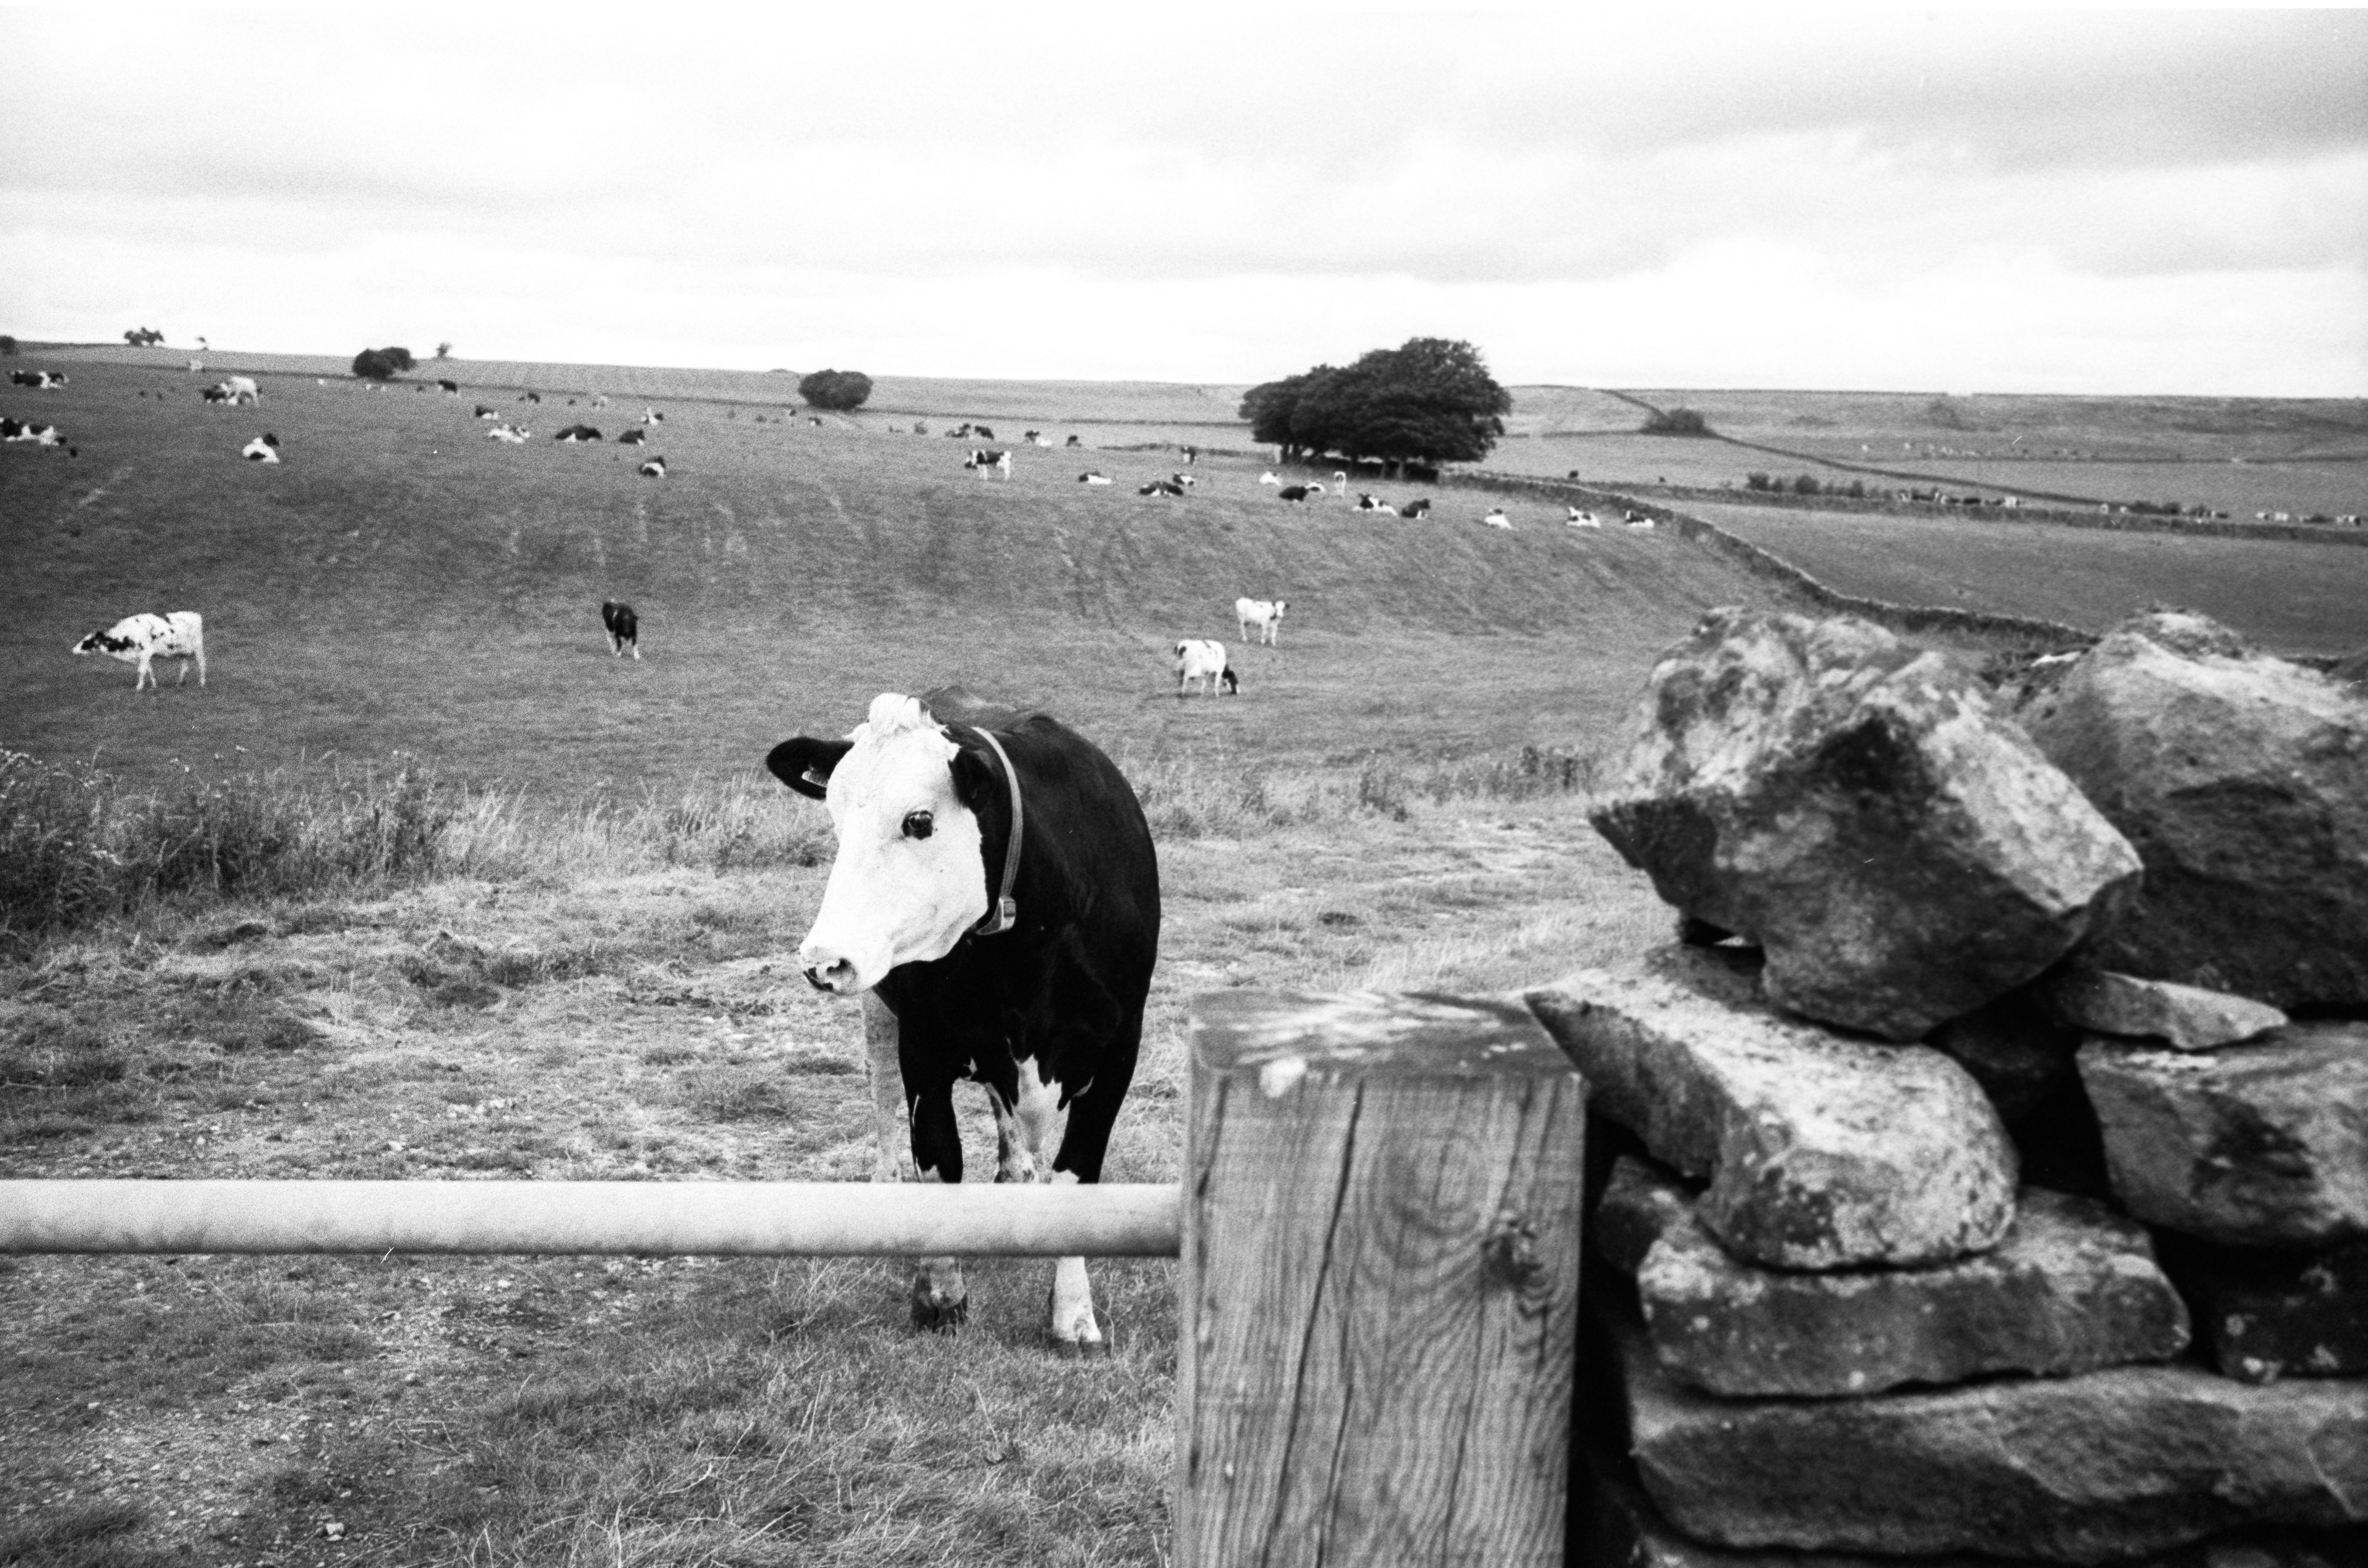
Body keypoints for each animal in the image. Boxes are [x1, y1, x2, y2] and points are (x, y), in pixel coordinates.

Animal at [72, 611, 206, 690]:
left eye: (87, 642)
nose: (73, 650)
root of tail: (195, 615)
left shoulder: (146, 652)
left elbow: (142, 670)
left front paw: (139, 688)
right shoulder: (143, 656)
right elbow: (149, 670)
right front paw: (154, 686)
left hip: (198, 648)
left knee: (202, 664)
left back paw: (202, 683)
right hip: (183, 652)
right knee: (185, 666)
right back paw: (180, 683)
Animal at [601, 601, 640, 658]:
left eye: (631, 623)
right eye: (622, 624)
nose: (627, 631)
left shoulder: (634, 634)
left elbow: (635, 645)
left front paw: (637, 656)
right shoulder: (617, 635)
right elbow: (619, 644)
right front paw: (619, 654)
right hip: (609, 629)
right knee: (610, 640)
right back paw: (613, 651)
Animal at [764, 688, 1160, 1350]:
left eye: (919, 821)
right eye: (836, 822)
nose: (822, 959)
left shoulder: (1118, 1051)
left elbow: (1076, 1174)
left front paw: (1073, 1314)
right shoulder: (924, 1048)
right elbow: (939, 1160)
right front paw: (940, 1295)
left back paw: (1015, 1170)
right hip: (880, 1009)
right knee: (883, 1093)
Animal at [1174, 639, 1237, 696]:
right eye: (1235, 681)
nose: (1237, 693)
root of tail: (1182, 646)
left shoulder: (1206, 673)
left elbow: (1204, 684)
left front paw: (1202, 694)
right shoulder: (1219, 671)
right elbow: (1216, 684)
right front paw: (1217, 695)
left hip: (1180, 667)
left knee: (1181, 680)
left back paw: (1181, 694)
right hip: (1189, 667)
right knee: (1185, 679)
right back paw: (1183, 694)